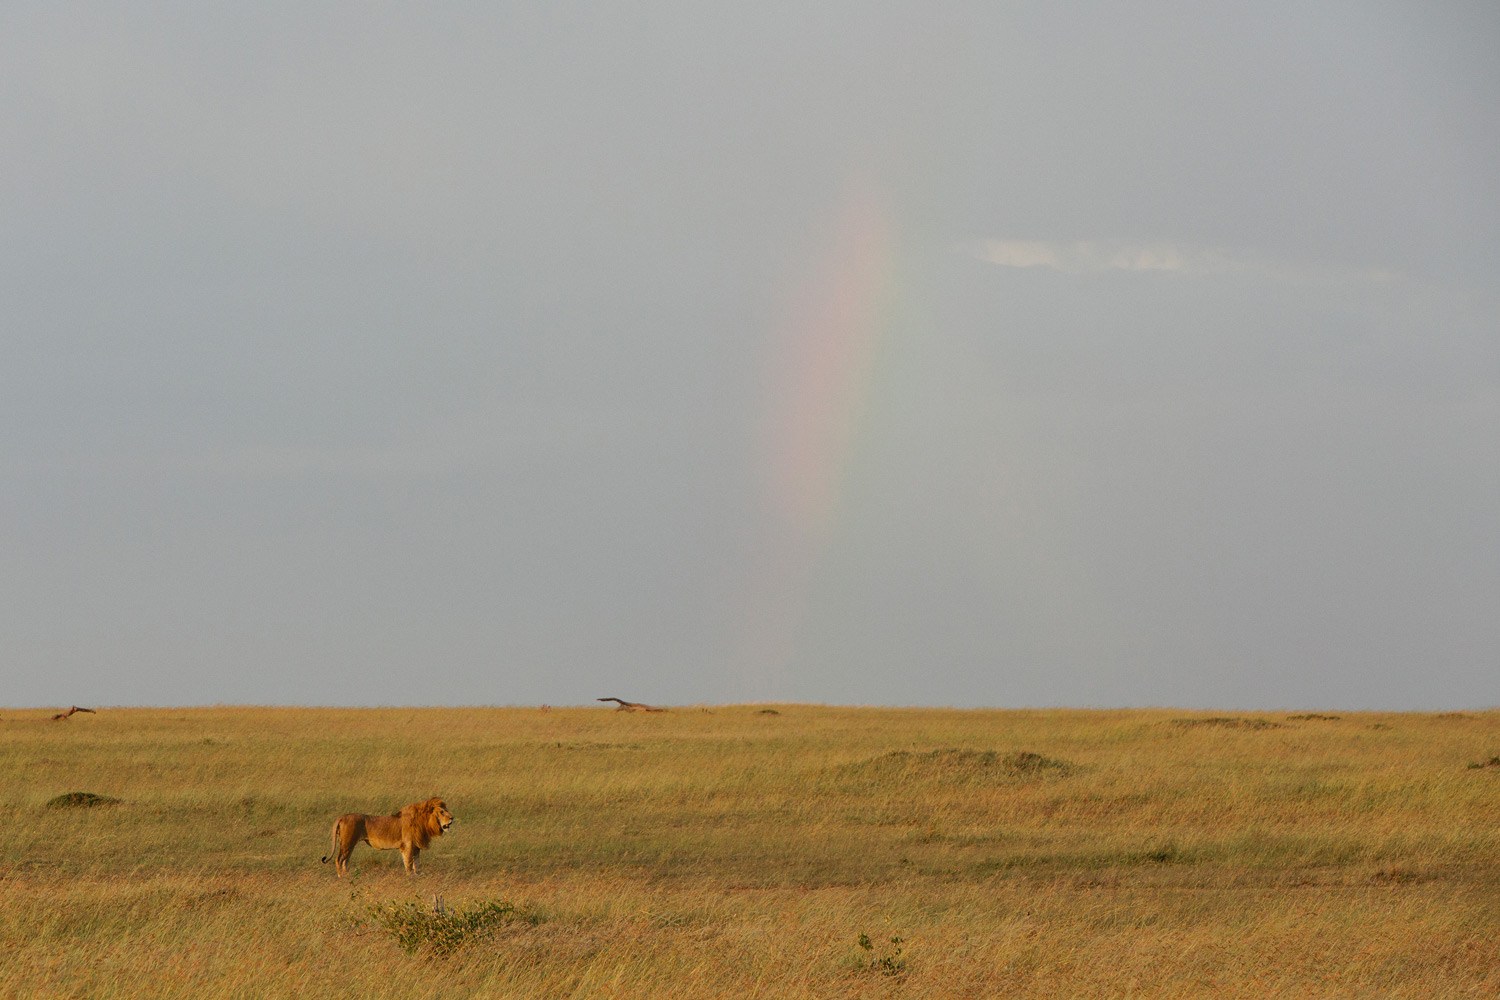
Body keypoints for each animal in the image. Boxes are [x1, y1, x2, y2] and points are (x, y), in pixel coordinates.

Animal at [319, 797, 453, 875]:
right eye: (442, 812)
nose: (452, 818)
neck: (424, 822)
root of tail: (342, 816)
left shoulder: (415, 847)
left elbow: (417, 864)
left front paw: (417, 876)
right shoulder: (408, 845)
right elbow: (409, 864)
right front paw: (410, 878)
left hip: (349, 844)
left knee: (345, 861)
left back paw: (348, 876)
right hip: (347, 843)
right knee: (339, 859)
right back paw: (341, 877)